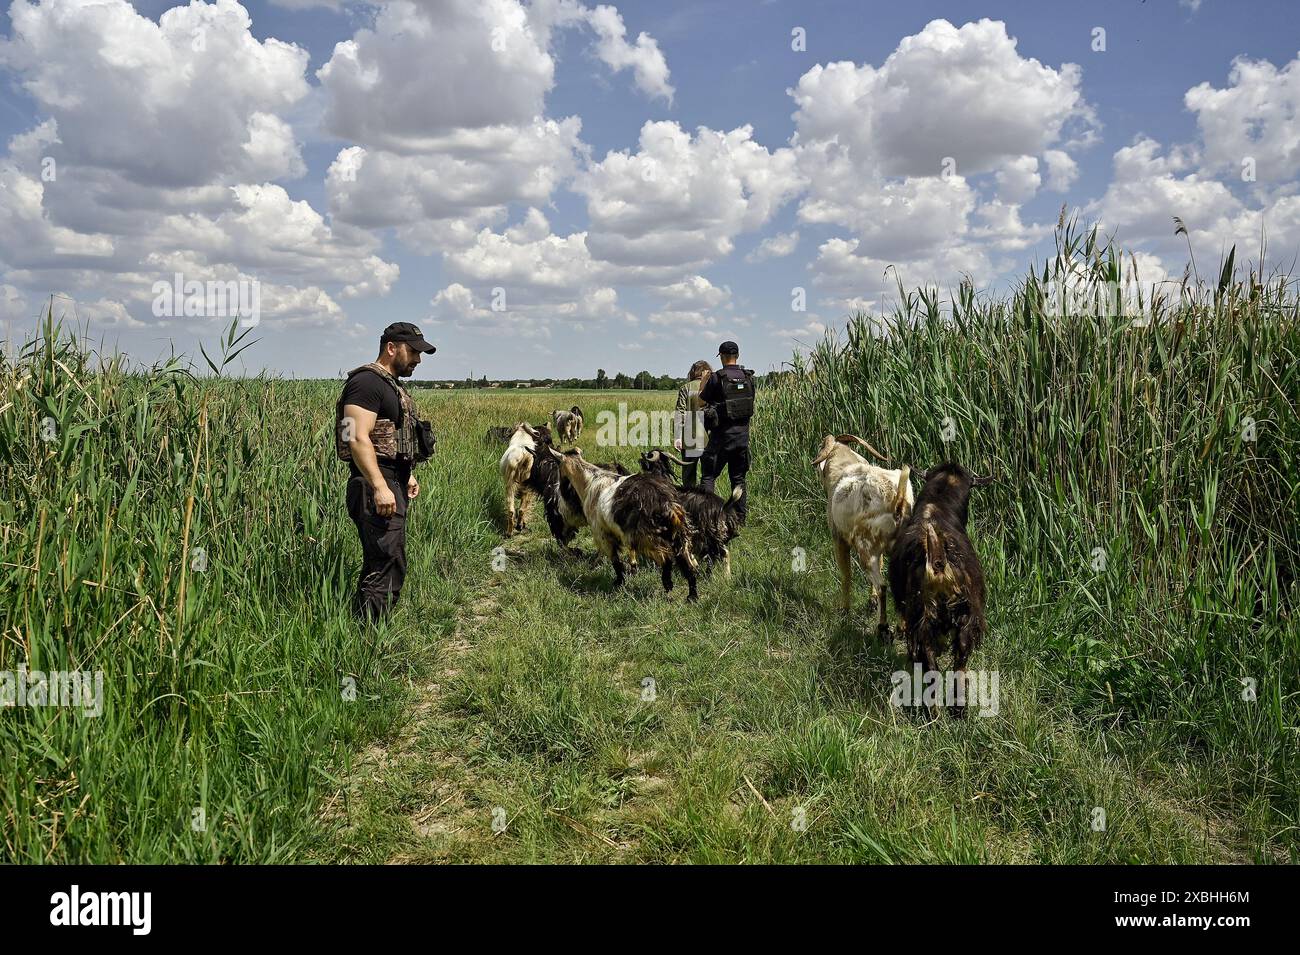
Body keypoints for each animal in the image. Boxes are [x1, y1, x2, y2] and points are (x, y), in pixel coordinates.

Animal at [551, 446, 696, 597]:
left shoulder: (602, 533)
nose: (558, 489)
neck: (589, 481)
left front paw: (619, 582)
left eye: (559, 468)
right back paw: (691, 596)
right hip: (678, 534)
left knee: (666, 560)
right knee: (687, 565)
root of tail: (667, 503)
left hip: (647, 537)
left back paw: (668, 585)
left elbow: (615, 560)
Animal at [811, 436, 915, 639]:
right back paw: (902, 628)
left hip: (865, 547)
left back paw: (883, 628)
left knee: (882, 585)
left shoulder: (839, 539)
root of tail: (897, 499)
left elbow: (846, 575)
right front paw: (871, 601)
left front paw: (844, 610)